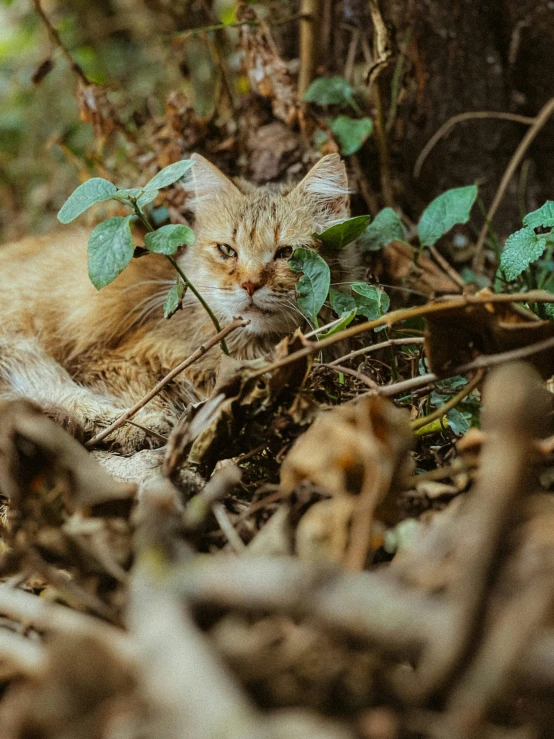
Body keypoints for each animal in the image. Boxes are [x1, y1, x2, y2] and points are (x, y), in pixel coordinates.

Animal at [0, 155, 358, 450]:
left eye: (287, 254)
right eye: (227, 251)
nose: (250, 284)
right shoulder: (107, 361)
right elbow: (147, 393)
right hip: (21, 344)